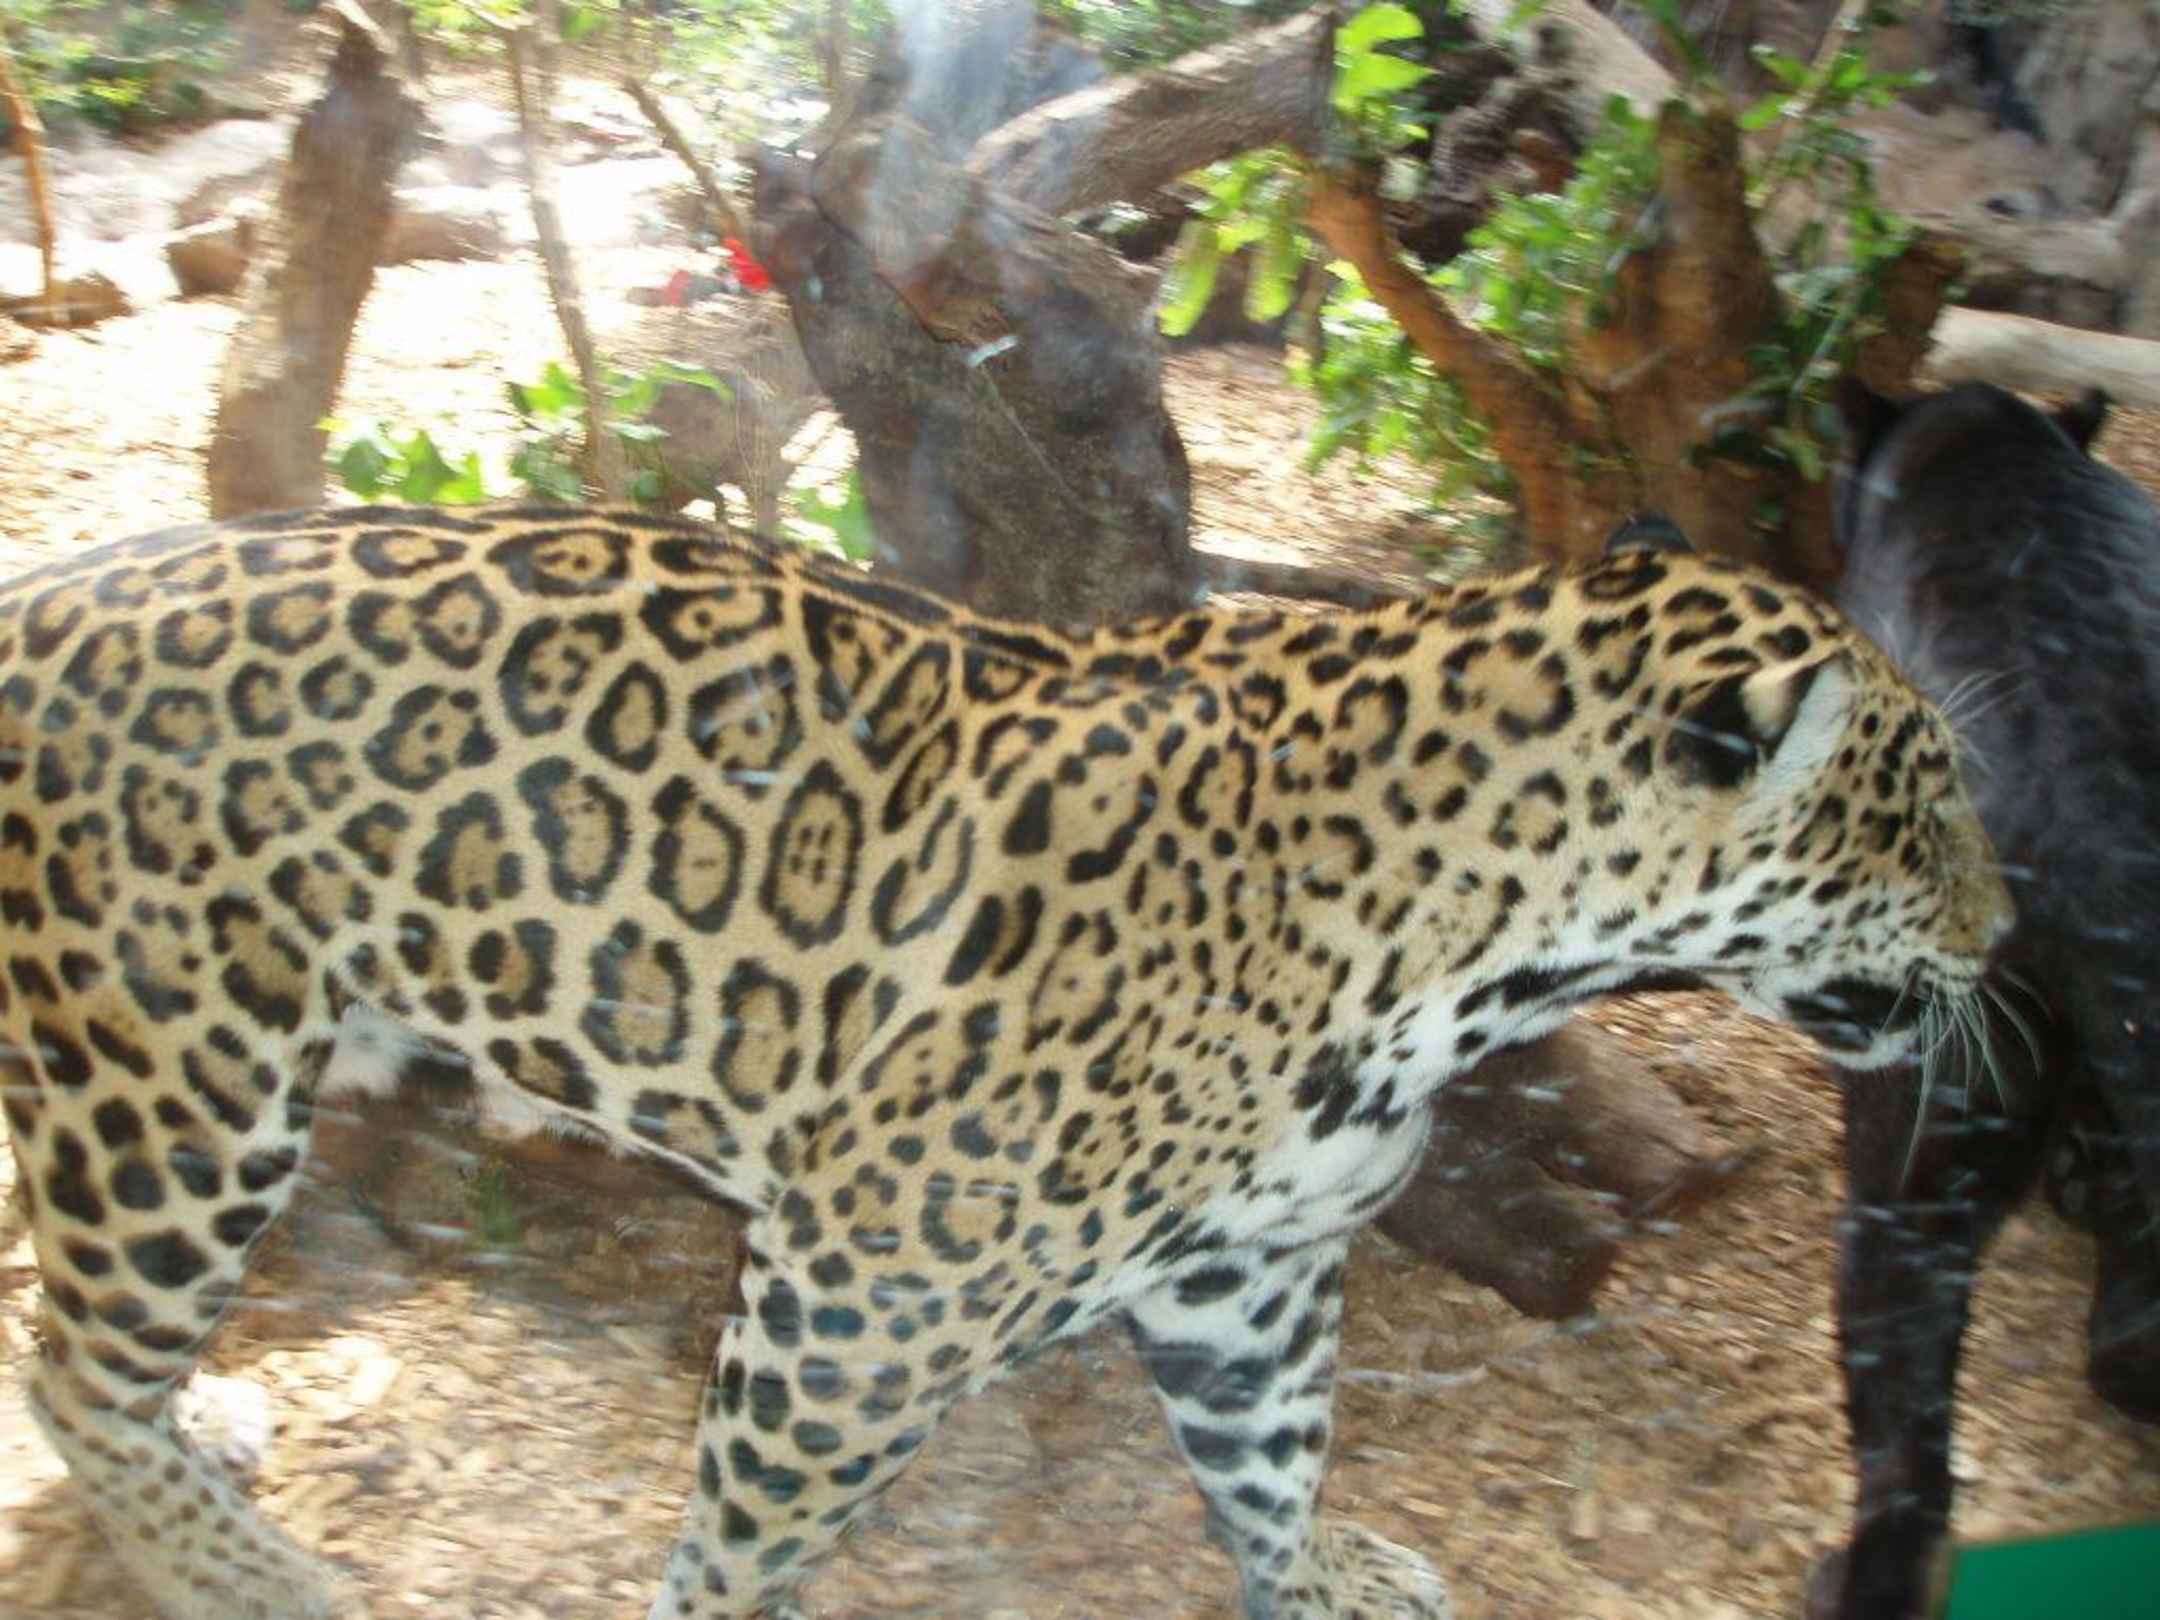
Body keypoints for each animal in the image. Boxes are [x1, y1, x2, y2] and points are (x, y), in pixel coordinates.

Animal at [0, 501, 2010, 1620]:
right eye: (1917, 815)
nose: (2002, 934)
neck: (1476, 953)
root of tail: (37, 600)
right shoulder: (859, 1287)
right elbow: (746, 1538)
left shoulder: (1249, 1272)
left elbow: (1275, 1453)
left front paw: (1319, 1578)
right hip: (175, 1085)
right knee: (69, 1364)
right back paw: (242, 1568)